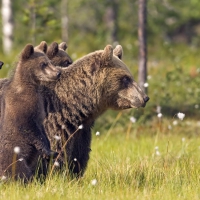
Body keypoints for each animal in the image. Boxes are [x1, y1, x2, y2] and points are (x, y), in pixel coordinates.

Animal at [0, 43, 61, 182]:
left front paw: (50, 150)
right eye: (43, 64)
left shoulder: (40, 108)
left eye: (49, 62)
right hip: (14, 155)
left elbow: (42, 129)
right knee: (19, 171)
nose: (58, 73)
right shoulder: (22, 107)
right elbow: (30, 128)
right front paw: (49, 151)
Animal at [41, 44, 149, 177]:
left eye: (130, 77)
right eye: (125, 78)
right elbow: (57, 152)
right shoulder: (55, 124)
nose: (145, 98)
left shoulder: (80, 133)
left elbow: (79, 156)